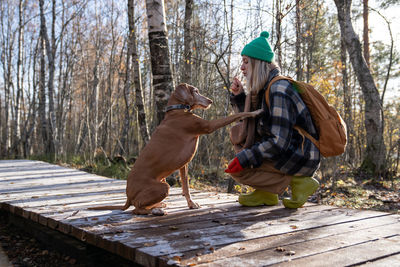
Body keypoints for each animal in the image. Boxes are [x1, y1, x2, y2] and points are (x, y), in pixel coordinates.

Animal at [89, 84, 260, 216]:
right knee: (136, 209)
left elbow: (186, 187)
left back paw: (159, 205)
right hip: (163, 186)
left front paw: (191, 204)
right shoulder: (208, 126)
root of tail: (128, 197)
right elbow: (236, 115)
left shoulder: (183, 165)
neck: (177, 110)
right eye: (195, 91)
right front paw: (255, 112)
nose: (210, 101)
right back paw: (156, 210)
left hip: (163, 182)